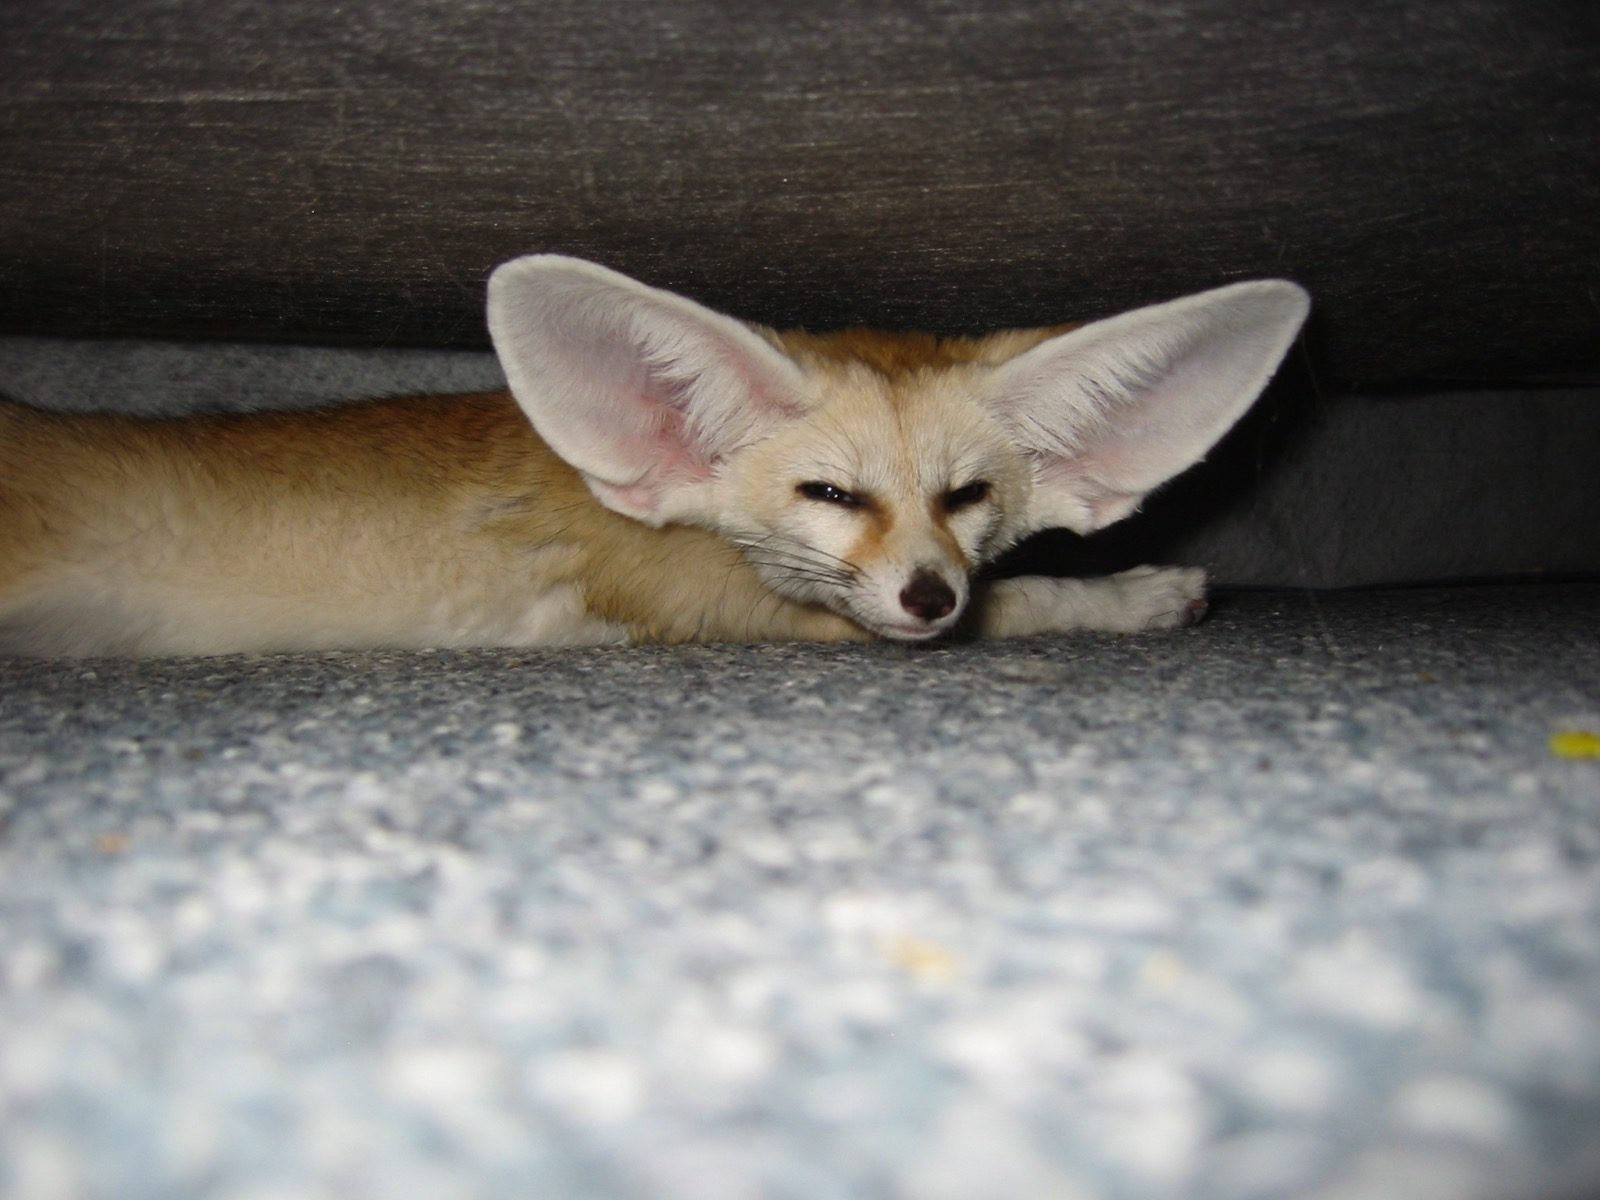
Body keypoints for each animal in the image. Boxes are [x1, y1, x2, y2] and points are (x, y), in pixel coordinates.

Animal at [0, 255, 1308, 657]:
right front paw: (1132, 593)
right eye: (829, 494)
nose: (928, 594)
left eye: (966, 496)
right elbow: (1024, 599)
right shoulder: (721, 606)